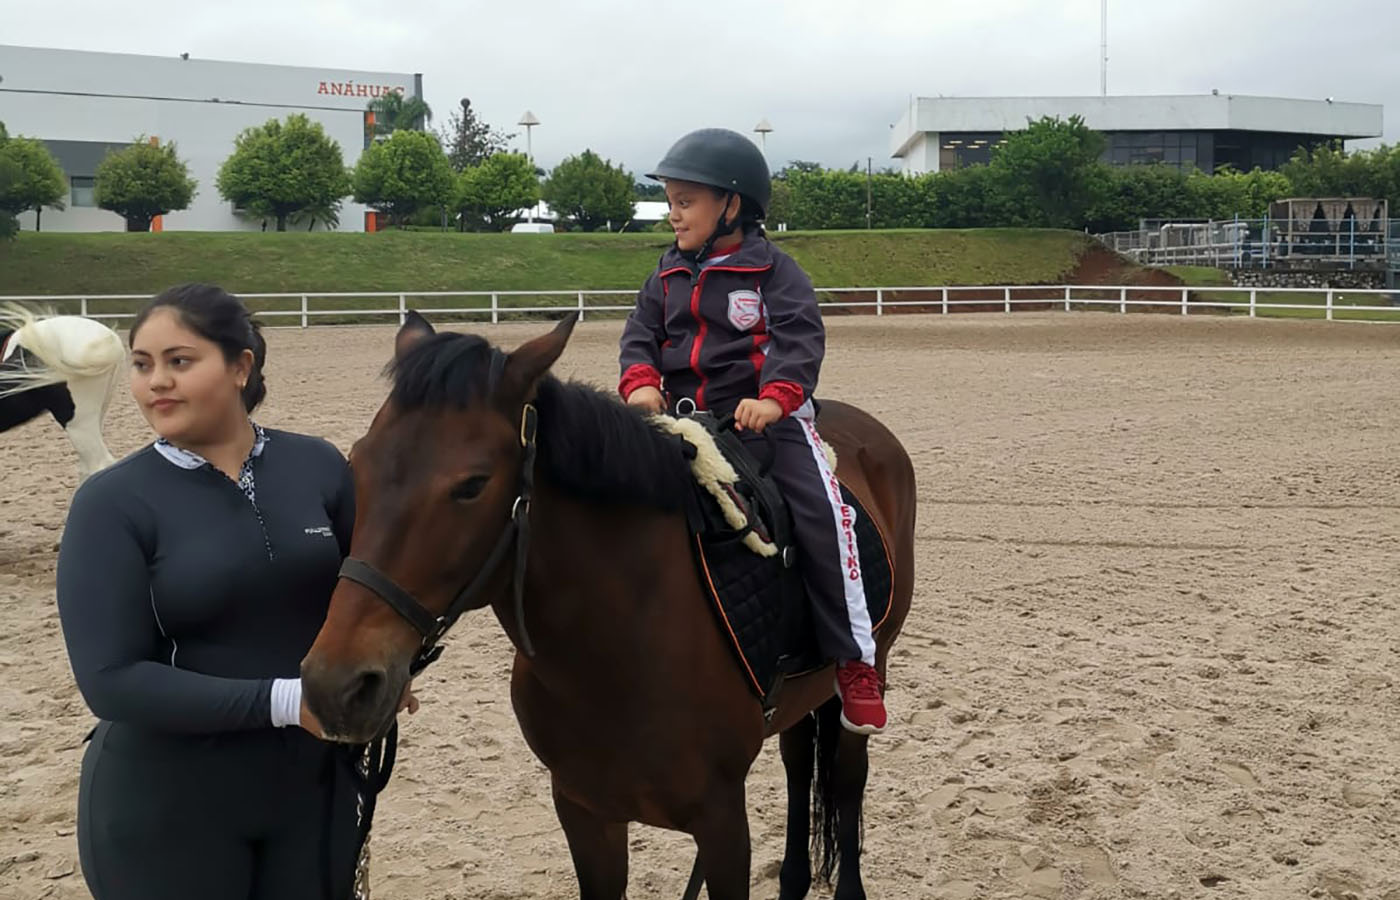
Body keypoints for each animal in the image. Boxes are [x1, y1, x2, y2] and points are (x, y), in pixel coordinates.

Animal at [303, 312, 918, 900]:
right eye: (357, 462)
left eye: (472, 484)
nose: (337, 684)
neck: (619, 644)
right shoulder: (584, 812)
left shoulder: (722, 823)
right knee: (797, 762)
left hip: (872, 664)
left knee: (846, 777)